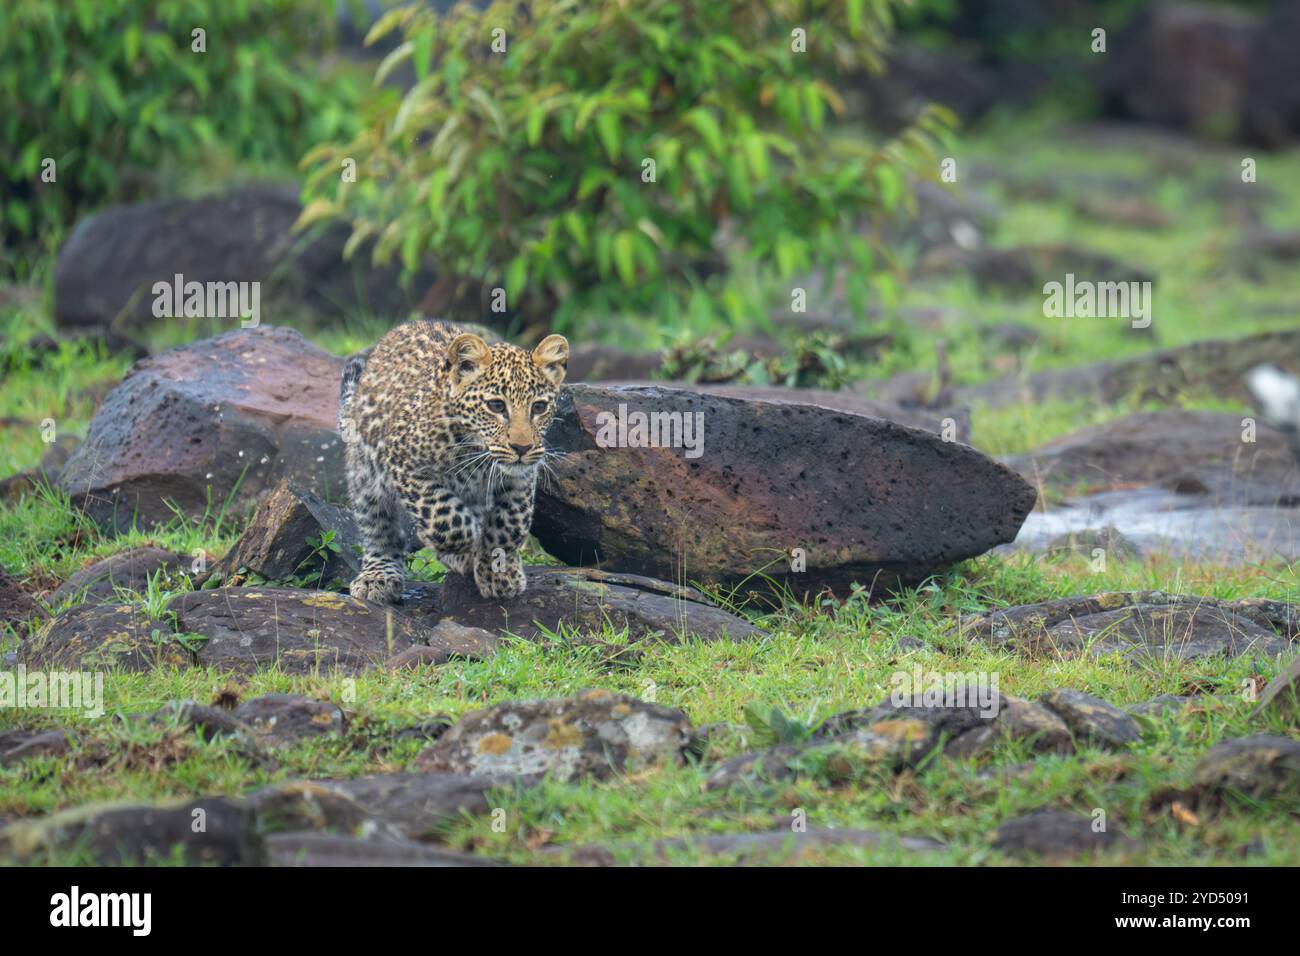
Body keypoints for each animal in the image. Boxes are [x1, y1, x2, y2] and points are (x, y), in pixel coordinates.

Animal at [337, 319, 569, 603]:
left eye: (538, 408)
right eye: (496, 406)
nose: (522, 448)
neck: (475, 454)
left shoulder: (520, 479)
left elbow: (508, 523)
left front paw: (499, 572)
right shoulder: (406, 466)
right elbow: (445, 517)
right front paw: (463, 547)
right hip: (365, 474)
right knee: (378, 526)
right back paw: (378, 575)